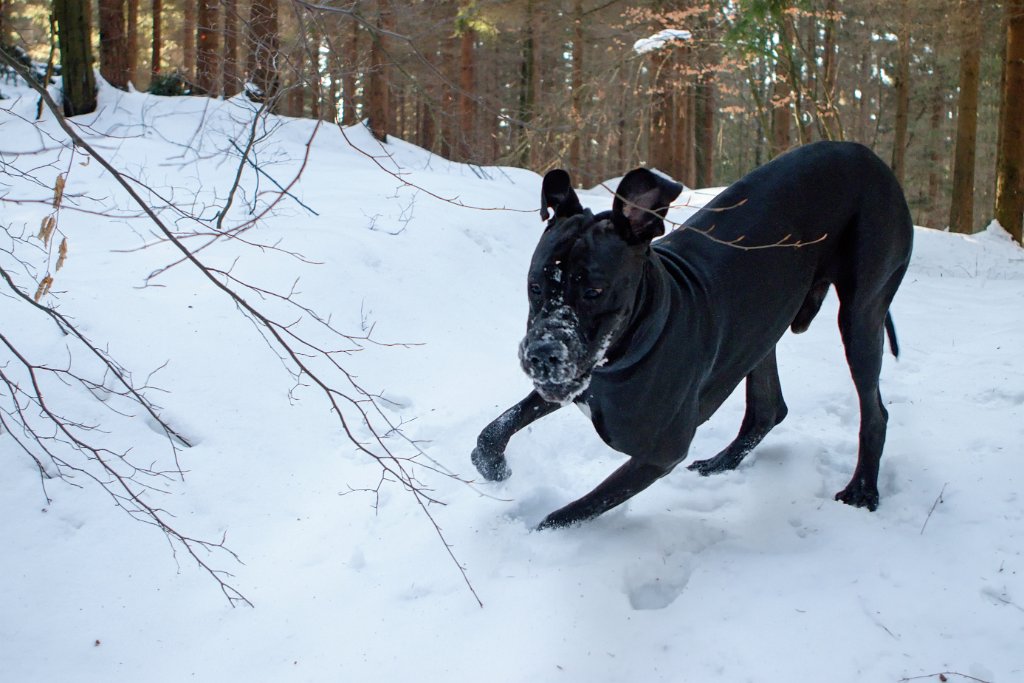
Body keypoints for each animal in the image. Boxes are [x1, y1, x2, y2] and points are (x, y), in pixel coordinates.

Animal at [471, 141, 913, 532]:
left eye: (594, 290)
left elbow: (571, 511)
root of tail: (871, 158)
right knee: (768, 408)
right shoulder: (574, 384)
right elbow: (494, 429)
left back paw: (862, 490)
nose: (542, 353)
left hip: (861, 314)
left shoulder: (659, 453)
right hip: (760, 326)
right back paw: (722, 463)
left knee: (876, 411)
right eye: (535, 286)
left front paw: (532, 535)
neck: (635, 343)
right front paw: (495, 467)